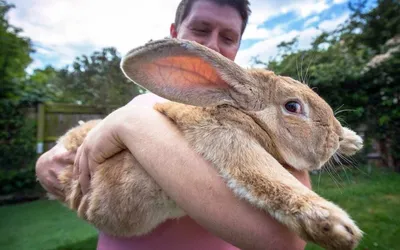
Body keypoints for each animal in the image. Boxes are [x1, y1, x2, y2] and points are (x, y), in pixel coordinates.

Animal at [50, 37, 362, 250]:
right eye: (293, 107)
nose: (334, 136)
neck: (242, 115)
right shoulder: (228, 140)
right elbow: (269, 178)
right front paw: (337, 227)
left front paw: (353, 141)